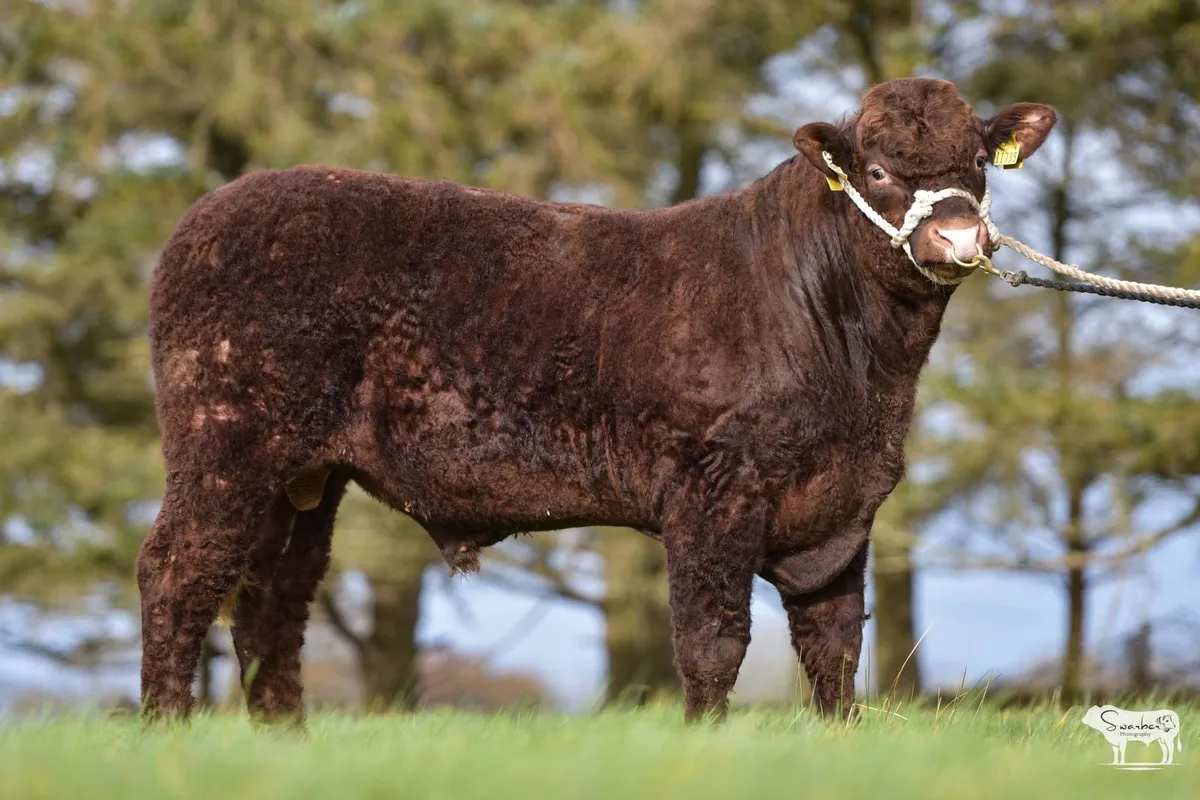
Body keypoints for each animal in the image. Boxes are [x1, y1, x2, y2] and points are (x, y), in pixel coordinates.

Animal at [137, 77, 1057, 726]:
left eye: (979, 163)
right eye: (876, 169)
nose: (957, 237)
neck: (866, 377)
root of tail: (212, 212)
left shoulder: (841, 508)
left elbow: (834, 647)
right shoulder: (714, 488)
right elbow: (712, 640)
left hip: (303, 477)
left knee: (270, 603)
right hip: (225, 442)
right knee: (177, 572)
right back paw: (166, 731)